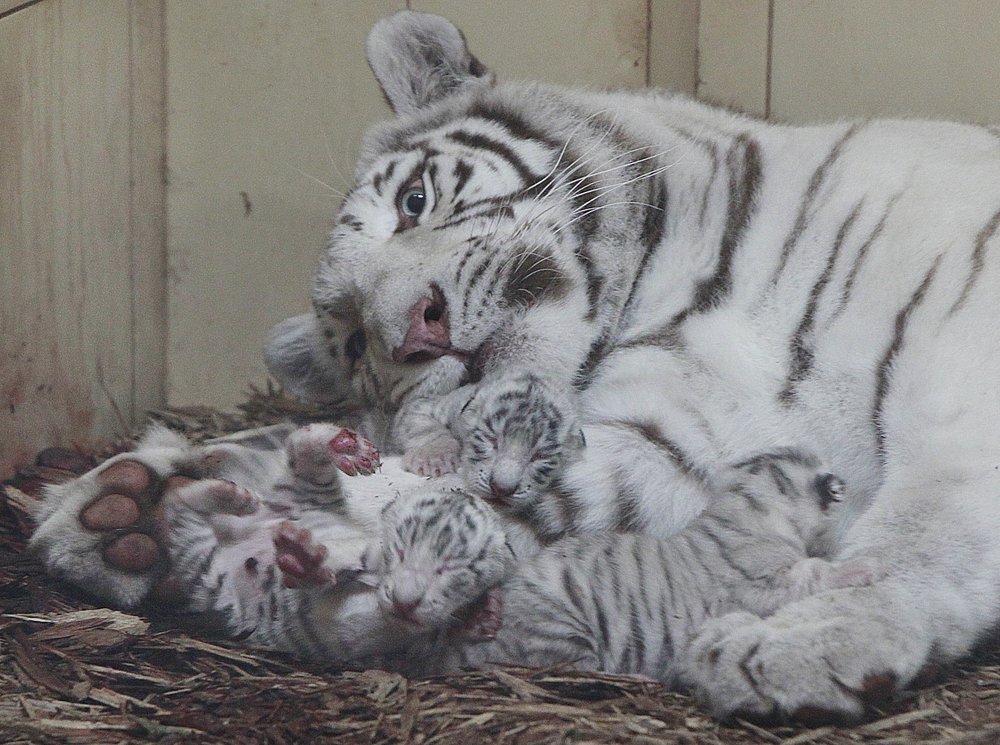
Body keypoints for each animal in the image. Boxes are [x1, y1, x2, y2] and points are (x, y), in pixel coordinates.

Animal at [27, 10, 1000, 720]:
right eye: (354, 338)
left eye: (414, 200)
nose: (414, 330)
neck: (671, 292)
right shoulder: (669, 446)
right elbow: (452, 490)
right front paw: (133, 511)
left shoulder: (956, 374)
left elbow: (919, 532)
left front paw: (803, 640)